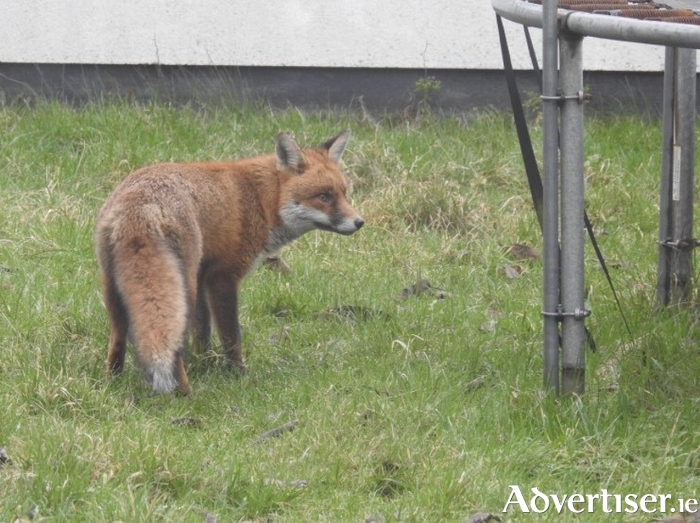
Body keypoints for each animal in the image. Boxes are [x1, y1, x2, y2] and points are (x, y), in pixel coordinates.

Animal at [95, 131, 364, 392]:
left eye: (344, 193)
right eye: (324, 196)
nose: (359, 222)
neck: (260, 199)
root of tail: (140, 207)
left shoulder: (203, 275)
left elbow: (202, 330)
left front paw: (205, 362)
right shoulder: (222, 277)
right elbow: (231, 334)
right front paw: (237, 373)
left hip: (115, 286)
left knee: (118, 336)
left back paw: (113, 381)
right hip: (182, 286)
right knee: (171, 342)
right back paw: (184, 393)